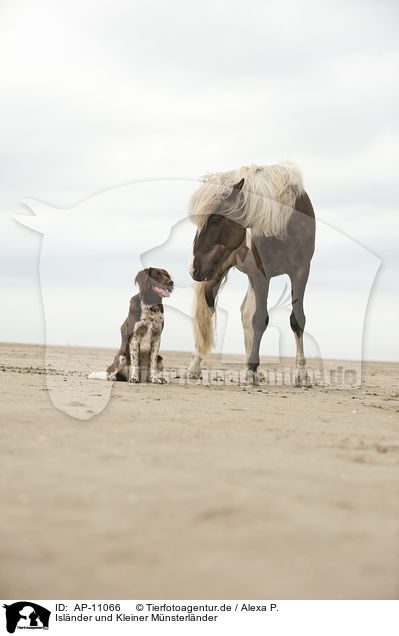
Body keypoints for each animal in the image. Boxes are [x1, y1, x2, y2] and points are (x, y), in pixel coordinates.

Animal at [188, 161, 316, 386]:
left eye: (215, 219)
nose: (194, 269)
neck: (284, 221)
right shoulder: (261, 274)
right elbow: (259, 319)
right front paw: (251, 371)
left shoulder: (301, 272)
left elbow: (297, 319)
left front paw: (302, 374)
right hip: (217, 274)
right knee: (209, 312)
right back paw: (196, 367)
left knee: (245, 314)